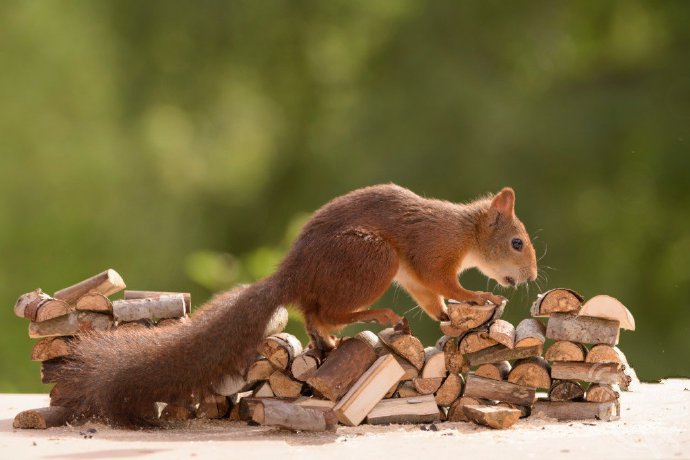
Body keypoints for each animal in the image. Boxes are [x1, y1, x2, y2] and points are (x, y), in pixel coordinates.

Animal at [52, 181, 536, 426]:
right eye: (516, 242)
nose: (530, 276)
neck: (464, 231)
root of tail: (294, 273)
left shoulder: (415, 279)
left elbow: (432, 299)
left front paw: (449, 314)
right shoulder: (433, 255)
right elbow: (446, 285)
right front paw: (479, 296)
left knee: (314, 314)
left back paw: (332, 339)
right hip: (373, 259)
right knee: (325, 311)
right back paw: (379, 315)